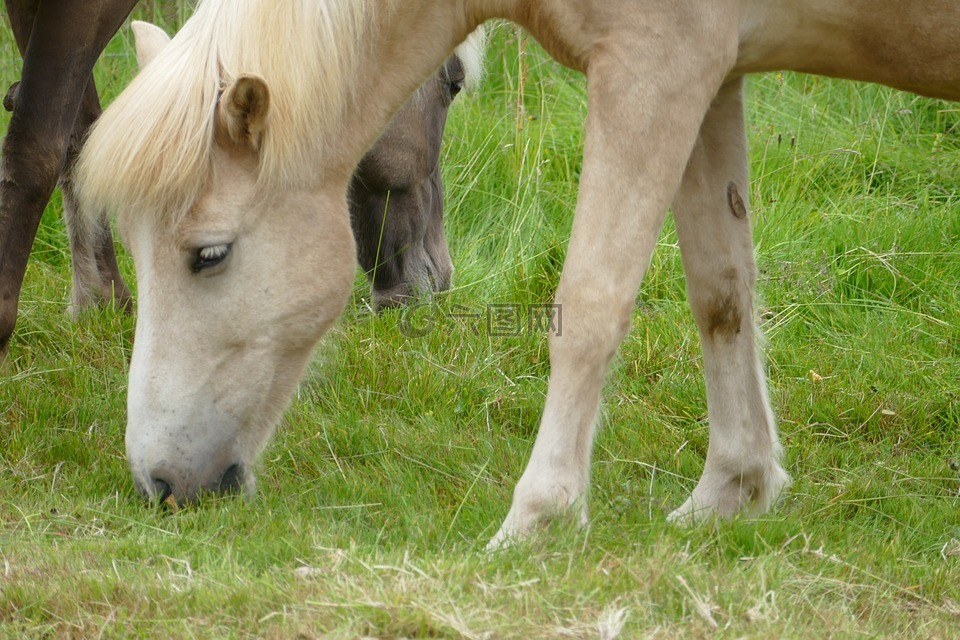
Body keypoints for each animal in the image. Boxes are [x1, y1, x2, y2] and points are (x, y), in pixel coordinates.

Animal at [75, 0, 960, 547]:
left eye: (209, 254)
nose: (160, 482)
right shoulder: (714, 78)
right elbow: (722, 293)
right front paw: (729, 494)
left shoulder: (657, 66)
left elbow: (590, 306)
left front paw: (538, 519)